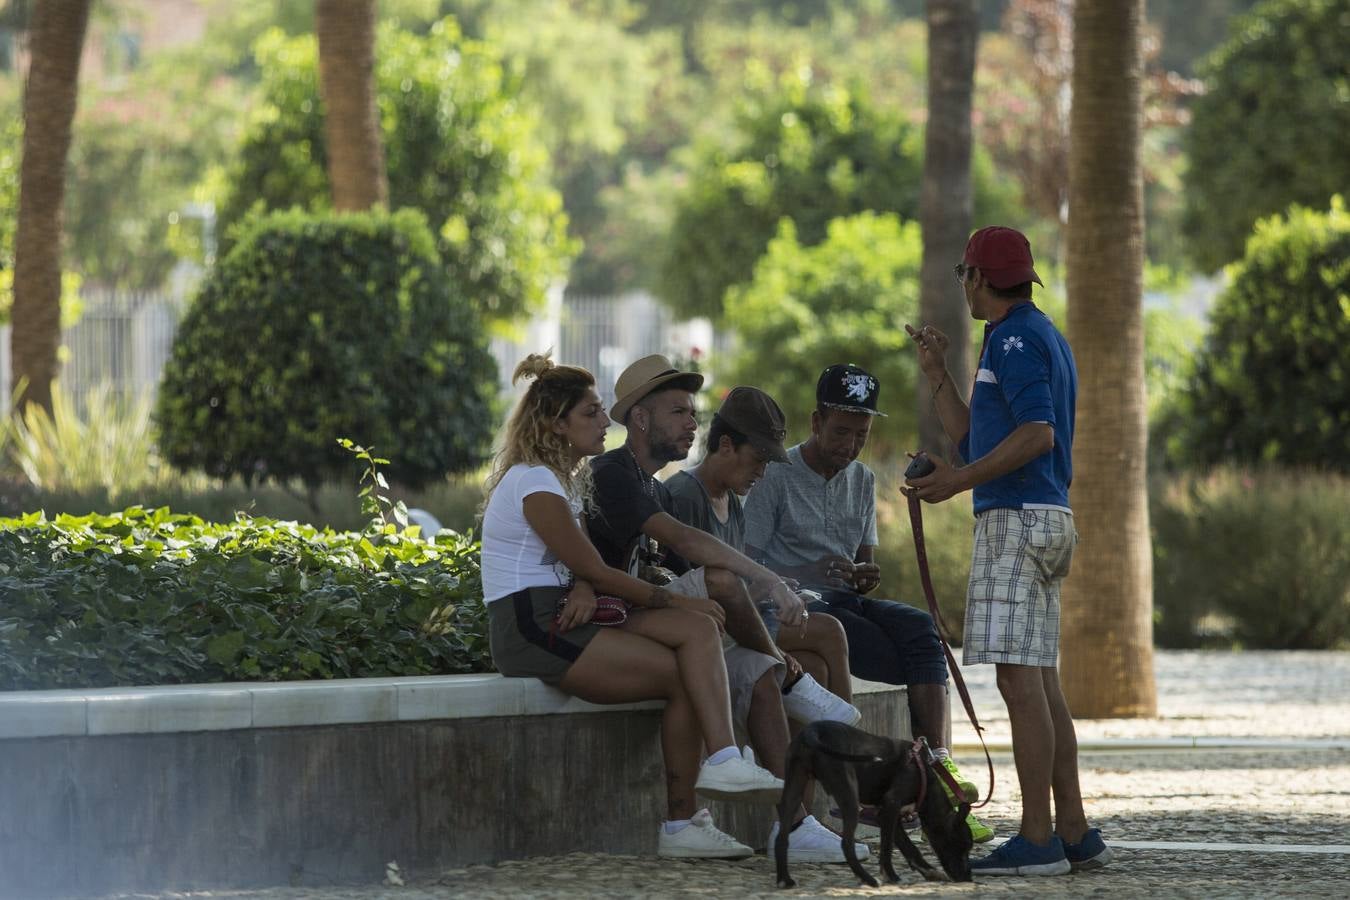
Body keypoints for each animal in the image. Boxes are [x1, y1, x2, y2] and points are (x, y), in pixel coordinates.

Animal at [772, 723, 972, 890]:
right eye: (961, 848)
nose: (968, 879)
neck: (925, 779)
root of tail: (813, 730)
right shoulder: (891, 805)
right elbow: (887, 847)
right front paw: (891, 876)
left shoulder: (887, 813)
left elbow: (909, 847)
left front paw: (929, 871)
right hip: (849, 797)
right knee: (846, 844)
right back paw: (868, 879)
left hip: (794, 787)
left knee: (782, 837)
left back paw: (784, 880)